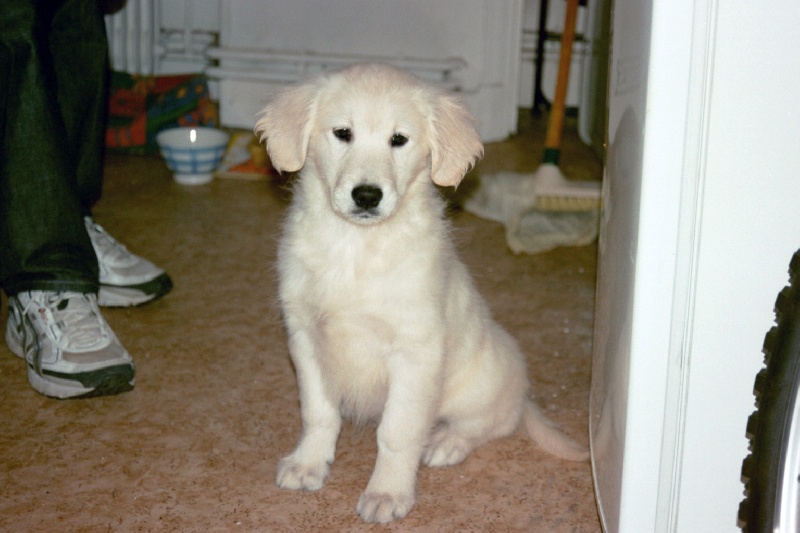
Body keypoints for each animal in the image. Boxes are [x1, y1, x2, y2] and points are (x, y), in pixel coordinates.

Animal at [255, 63, 588, 524]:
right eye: (343, 133)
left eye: (399, 139)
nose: (367, 196)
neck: (356, 247)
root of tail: (523, 396)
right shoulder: (306, 337)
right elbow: (318, 412)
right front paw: (308, 463)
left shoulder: (415, 352)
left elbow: (397, 432)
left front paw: (387, 492)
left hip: (482, 384)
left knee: (491, 423)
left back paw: (447, 442)